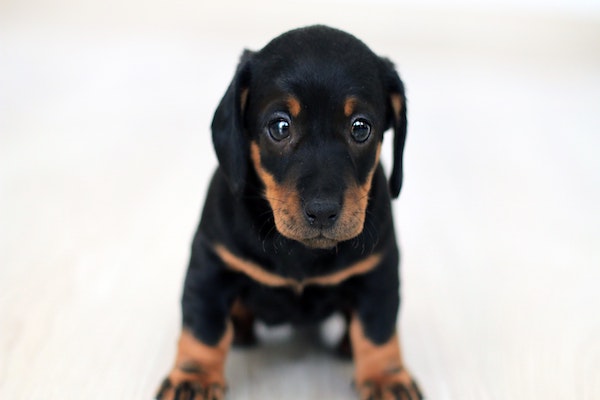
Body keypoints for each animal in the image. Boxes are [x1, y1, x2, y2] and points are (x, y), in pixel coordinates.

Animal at [157, 25, 424, 400]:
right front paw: (193, 378)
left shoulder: (379, 272)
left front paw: (388, 378)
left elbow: (378, 330)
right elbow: (203, 329)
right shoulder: (210, 265)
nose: (323, 211)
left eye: (361, 128)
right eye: (280, 126)